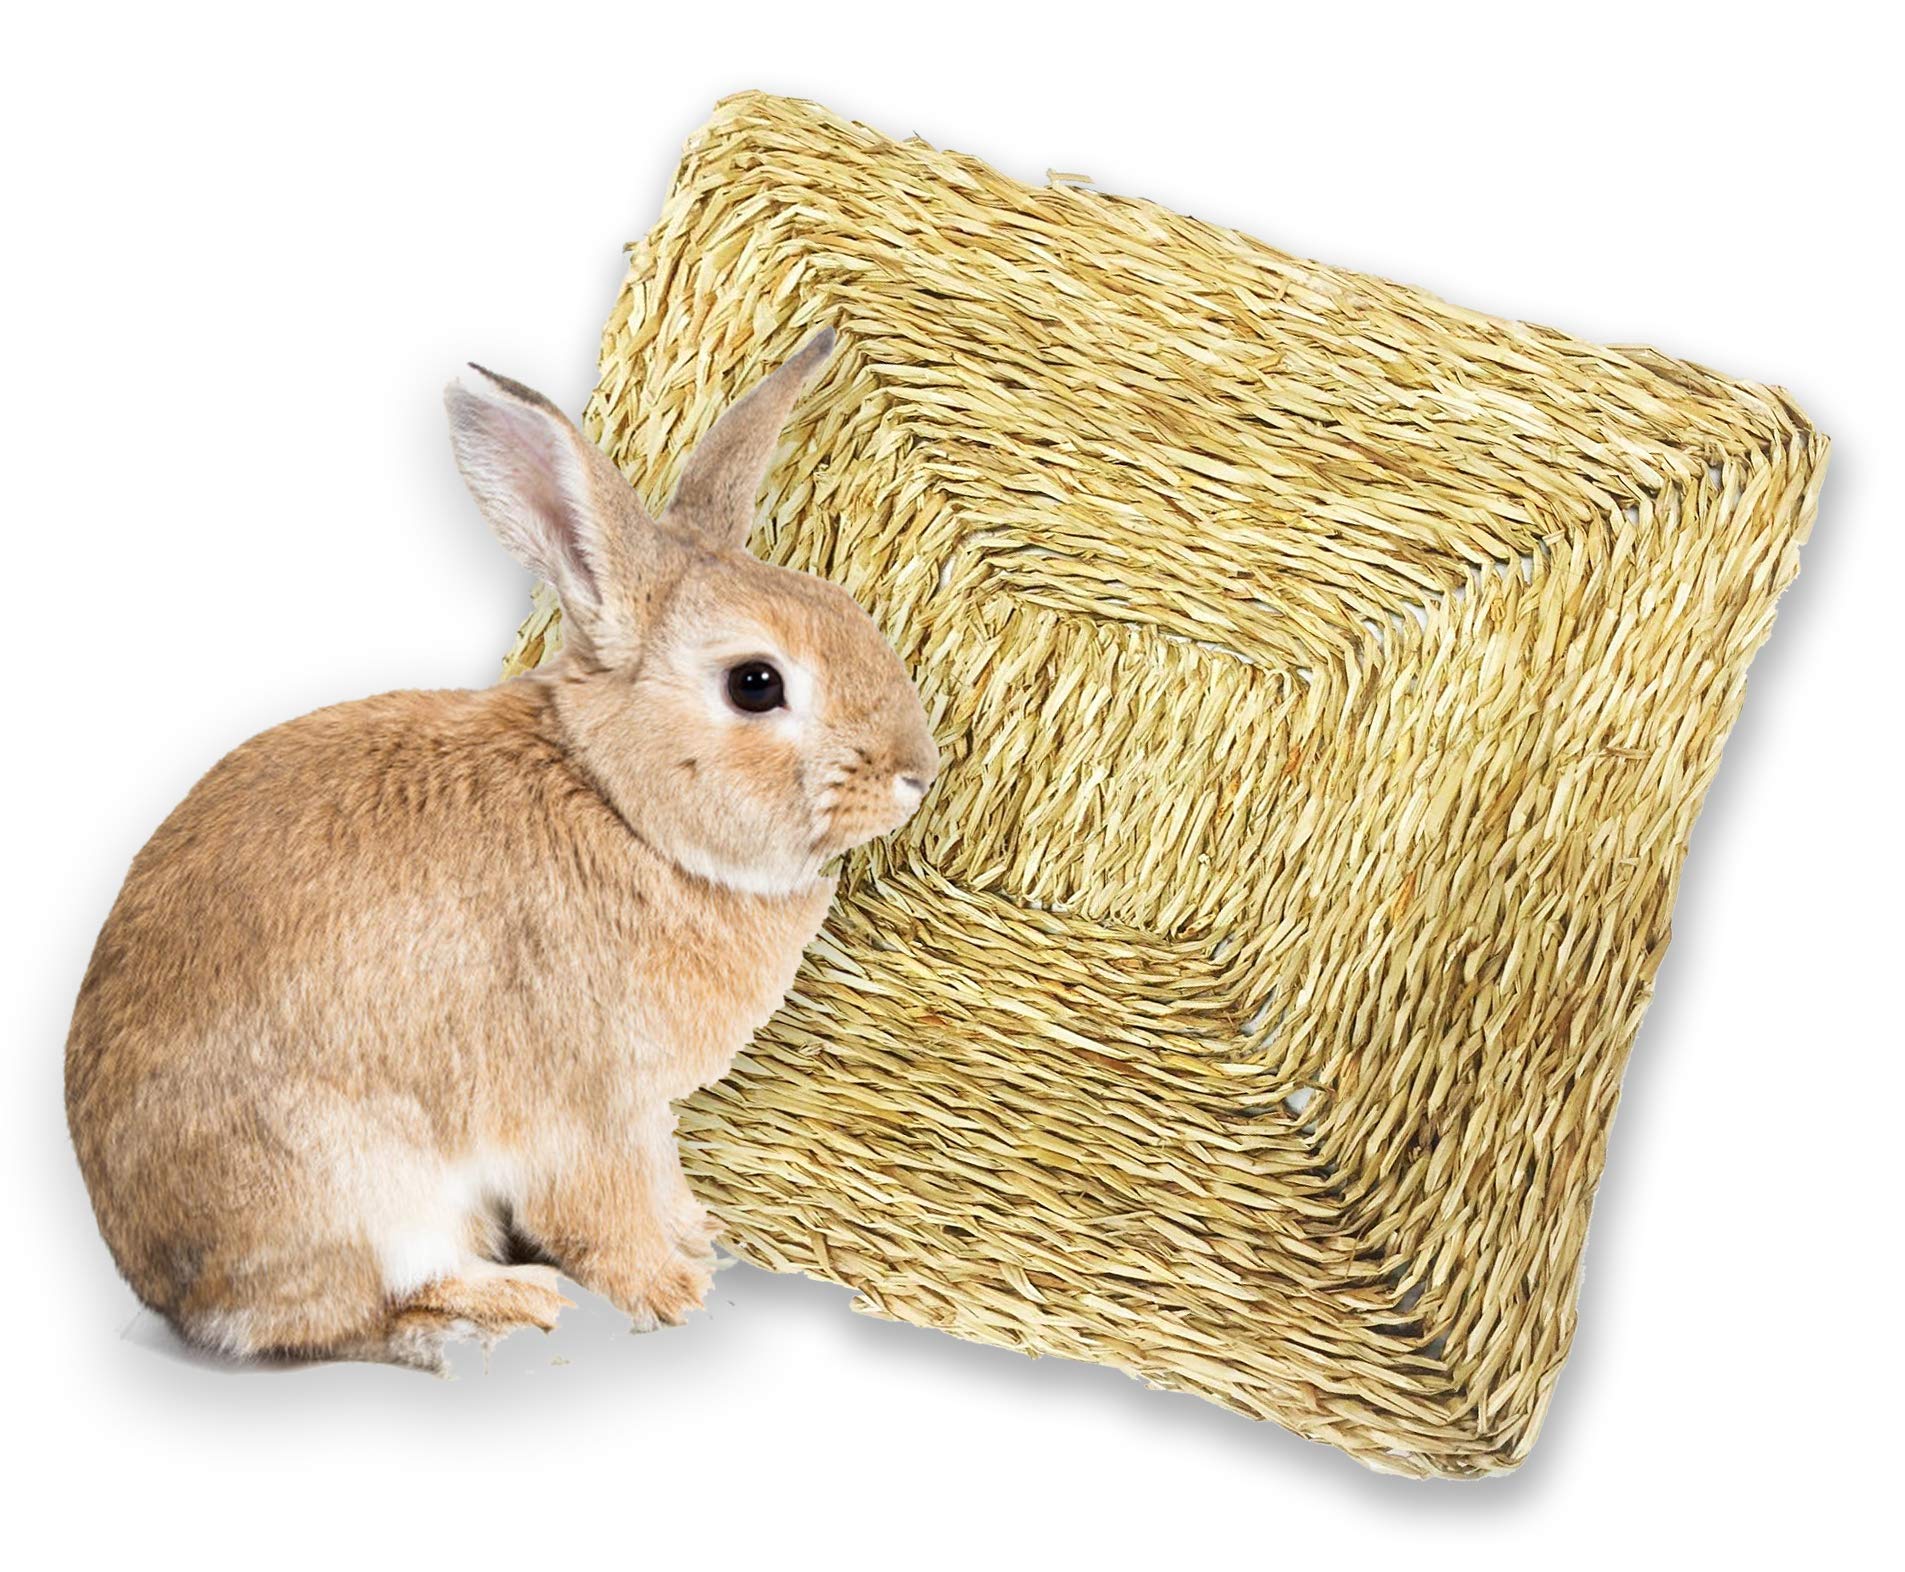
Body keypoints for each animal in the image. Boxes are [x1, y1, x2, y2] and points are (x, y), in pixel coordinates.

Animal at [65, 327, 939, 1371]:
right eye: (756, 684)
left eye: (846, 606)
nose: (917, 773)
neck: (619, 802)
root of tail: (159, 1283)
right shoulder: (589, 1111)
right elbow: (605, 1208)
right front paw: (671, 1289)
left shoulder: (641, 1116)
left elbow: (659, 1183)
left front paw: (697, 1240)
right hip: (358, 1185)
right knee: (344, 1312)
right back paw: (498, 1304)